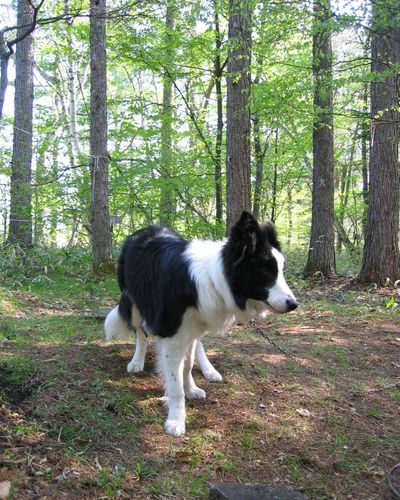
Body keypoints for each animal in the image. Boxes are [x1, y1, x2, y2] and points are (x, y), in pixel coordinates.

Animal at [104, 209, 298, 436]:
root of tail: (143, 231)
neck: (212, 280)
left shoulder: (192, 326)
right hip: (134, 301)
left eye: (282, 271)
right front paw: (176, 420)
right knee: (140, 333)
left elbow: (187, 366)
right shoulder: (173, 334)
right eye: (267, 272)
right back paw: (137, 361)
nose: (294, 304)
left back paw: (208, 369)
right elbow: (175, 382)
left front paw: (190, 389)